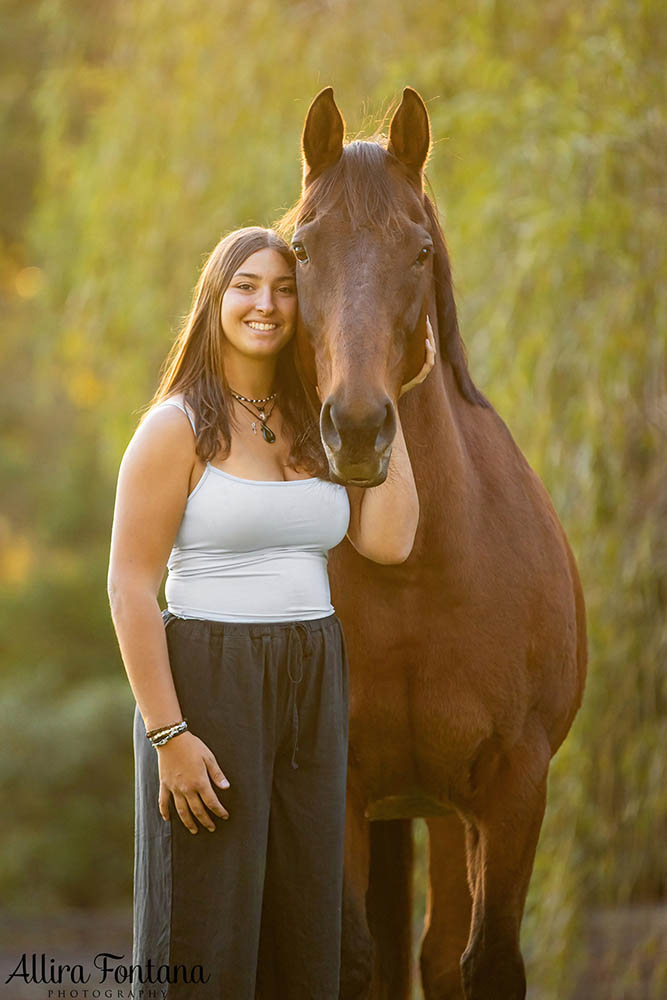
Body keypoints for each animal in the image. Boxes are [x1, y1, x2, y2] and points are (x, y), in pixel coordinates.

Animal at [280, 86, 588, 1000]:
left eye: (417, 250)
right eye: (301, 248)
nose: (356, 427)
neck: (415, 572)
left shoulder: (512, 786)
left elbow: (484, 962)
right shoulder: (338, 789)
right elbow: (349, 961)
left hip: (445, 816)